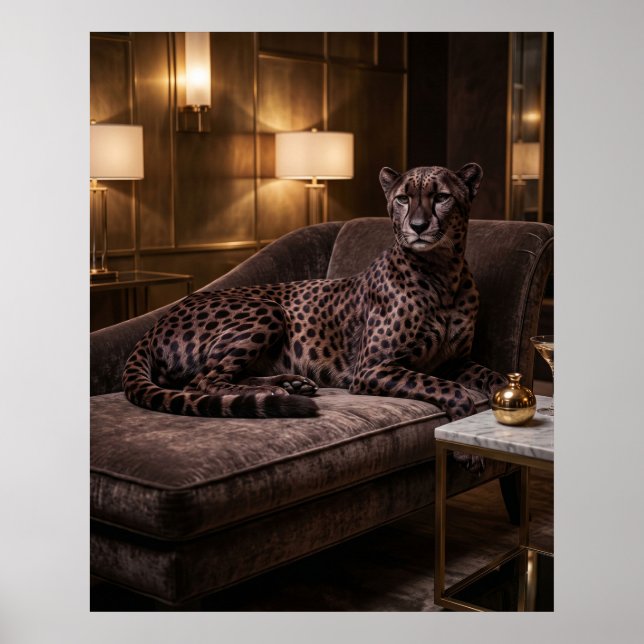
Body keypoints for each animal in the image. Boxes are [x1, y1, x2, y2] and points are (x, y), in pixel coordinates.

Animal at [123, 163, 507, 437]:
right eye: (403, 198)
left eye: (441, 197)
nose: (418, 225)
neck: (442, 273)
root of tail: (158, 320)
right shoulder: (371, 368)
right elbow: (448, 388)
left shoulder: (454, 360)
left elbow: (496, 378)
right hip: (268, 309)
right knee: (202, 382)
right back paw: (277, 394)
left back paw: (288, 385)